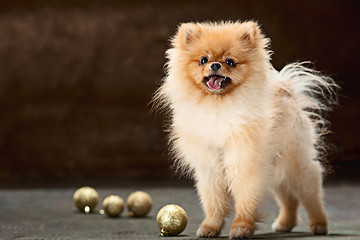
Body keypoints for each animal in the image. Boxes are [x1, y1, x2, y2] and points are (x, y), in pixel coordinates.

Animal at [153, 21, 338, 238]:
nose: (215, 65)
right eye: (203, 60)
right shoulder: (210, 166)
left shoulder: (244, 161)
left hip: (294, 163)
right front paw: (210, 227)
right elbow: (213, 201)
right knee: (288, 197)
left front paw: (241, 227)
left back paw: (319, 224)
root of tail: (287, 92)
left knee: (310, 194)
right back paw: (285, 223)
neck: (218, 106)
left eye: (230, 62)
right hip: (275, 167)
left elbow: (246, 199)